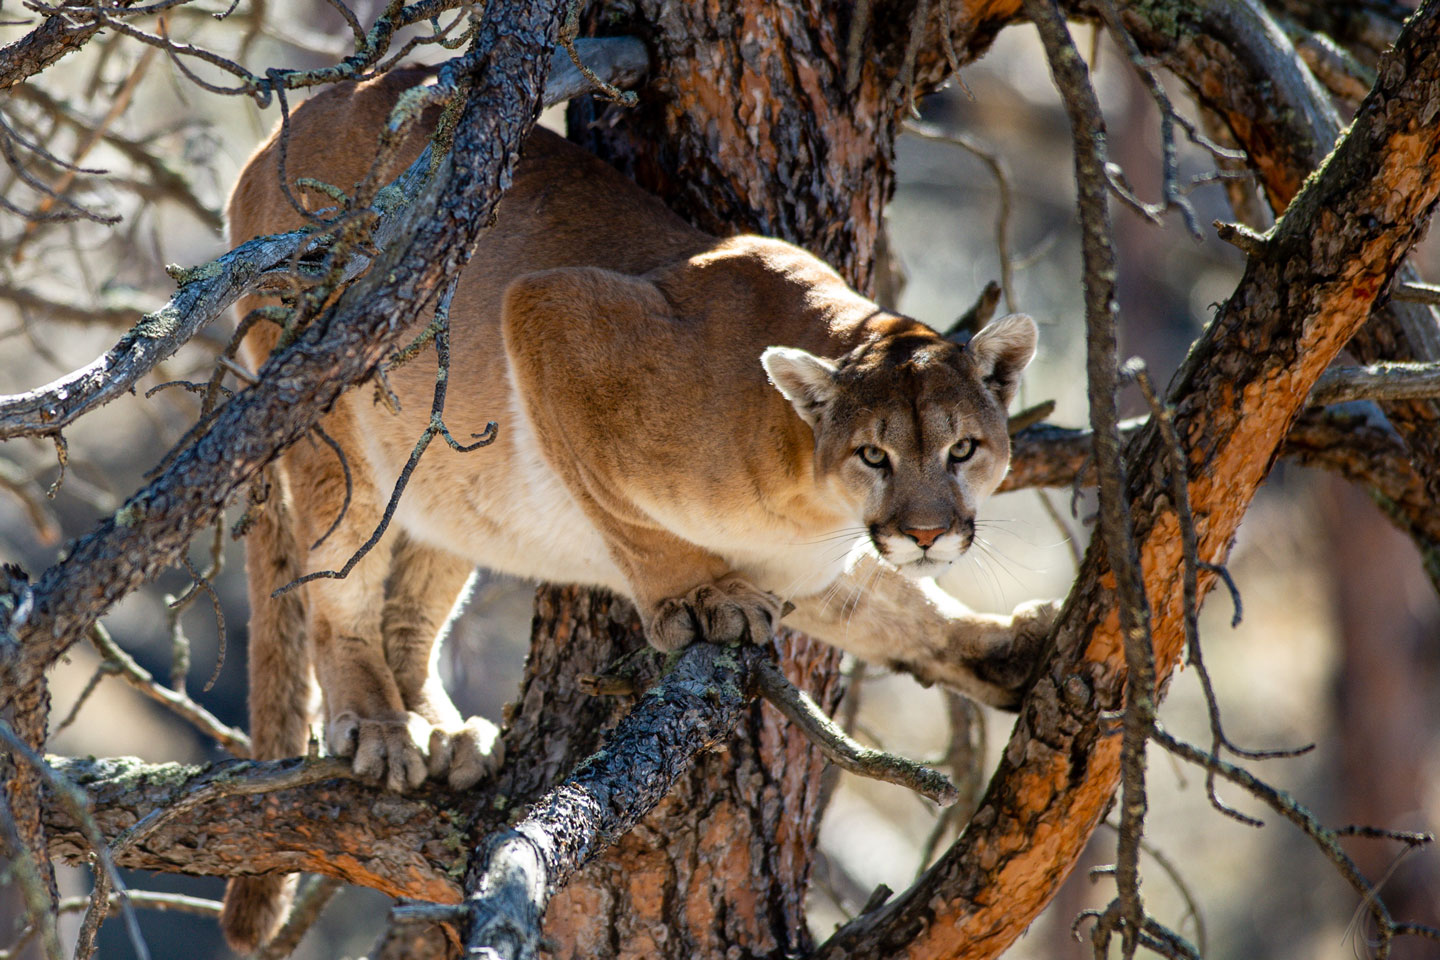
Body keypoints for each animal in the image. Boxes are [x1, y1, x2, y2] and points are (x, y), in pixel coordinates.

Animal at [218, 69, 1054, 955]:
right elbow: (634, 522)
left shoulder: (810, 567)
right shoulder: (549, 316)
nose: (927, 532)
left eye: (962, 449)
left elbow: (898, 608)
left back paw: (442, 731)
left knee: (410, 609)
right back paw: (379, 727)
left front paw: (1006, 650)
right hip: (338, 424)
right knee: (334, 589)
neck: (809, 491)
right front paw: (695, 600)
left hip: (446, 482)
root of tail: (273, 144)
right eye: (874, 455)